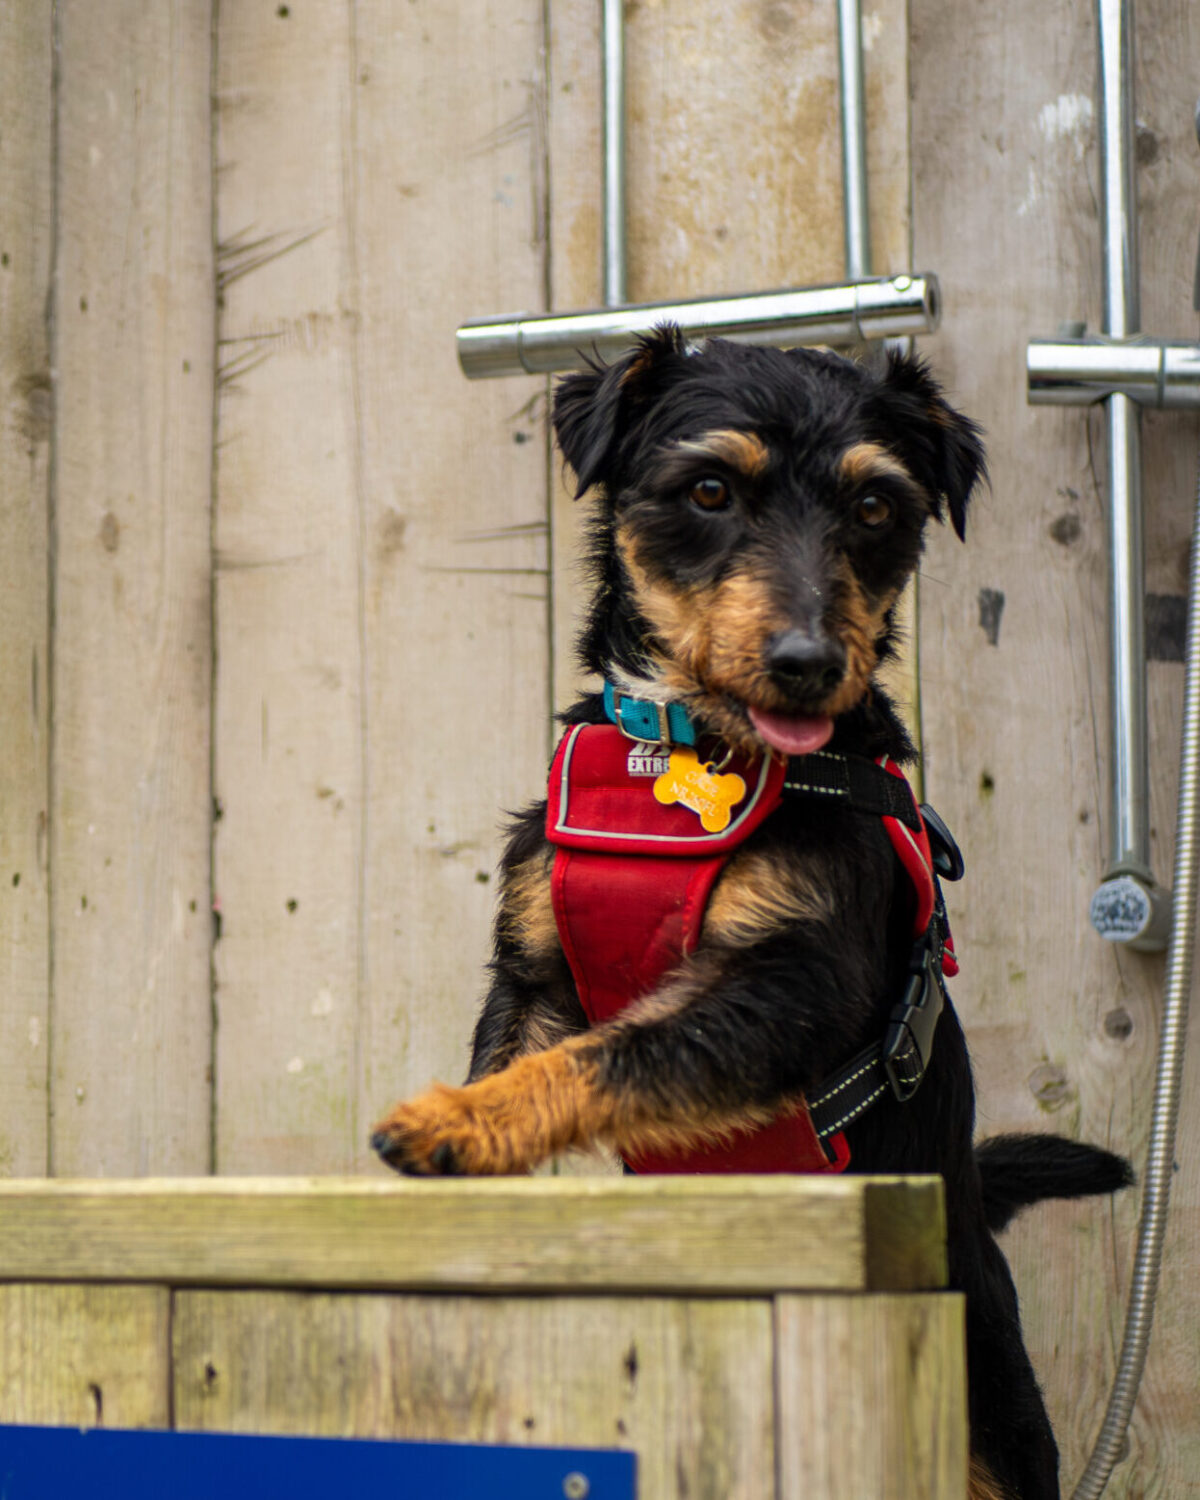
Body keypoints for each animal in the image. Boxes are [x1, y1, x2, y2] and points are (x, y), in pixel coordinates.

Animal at [375, 328, 1134, 1500]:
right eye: (710, 489)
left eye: (874, 507)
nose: (809, 664)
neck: (686, 753)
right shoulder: (533, 971)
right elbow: (524, 1057)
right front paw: (463, 1142)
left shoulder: (793, 987)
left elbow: (610, 1052)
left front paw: (442, 1125)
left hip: (1003, 1425)